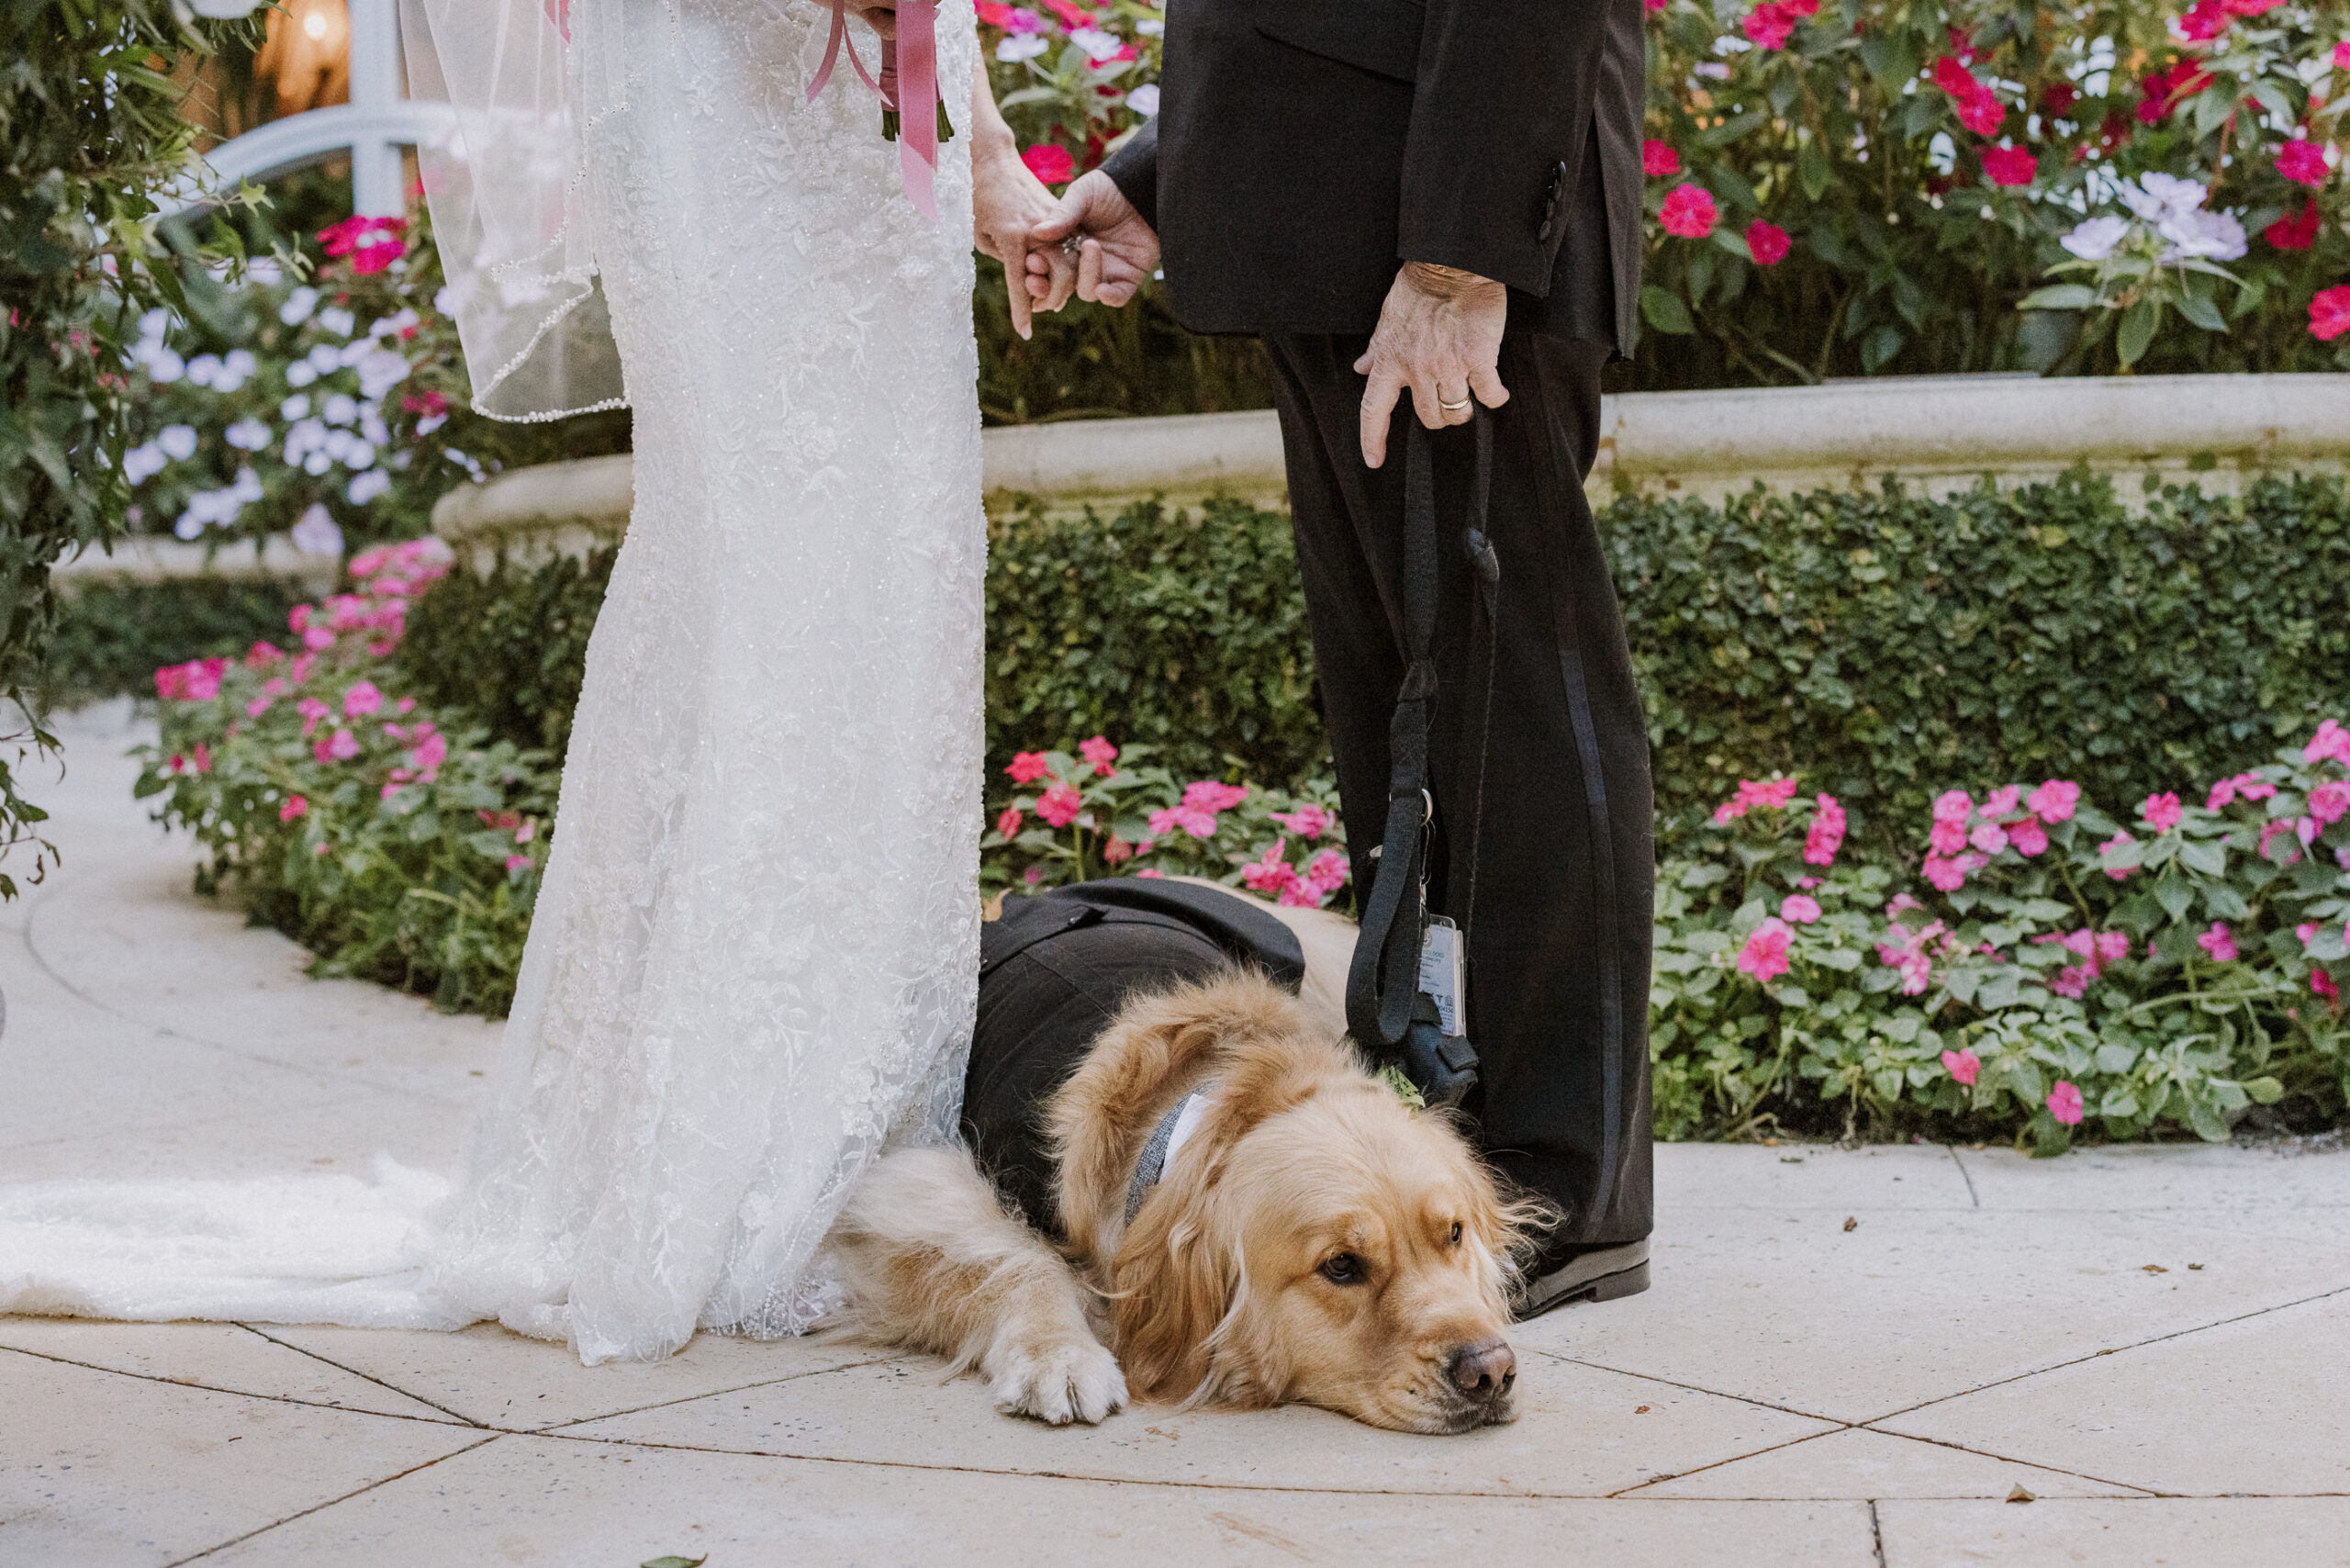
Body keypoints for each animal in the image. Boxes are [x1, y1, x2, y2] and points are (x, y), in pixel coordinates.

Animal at [827, 940, 1541, 1439]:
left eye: (1454, 1234)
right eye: (1341, 1266)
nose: (1491, 1372)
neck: (1201, 1110)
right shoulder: (902, 1185)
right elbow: (1014, 1258)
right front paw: (1059, 1354)